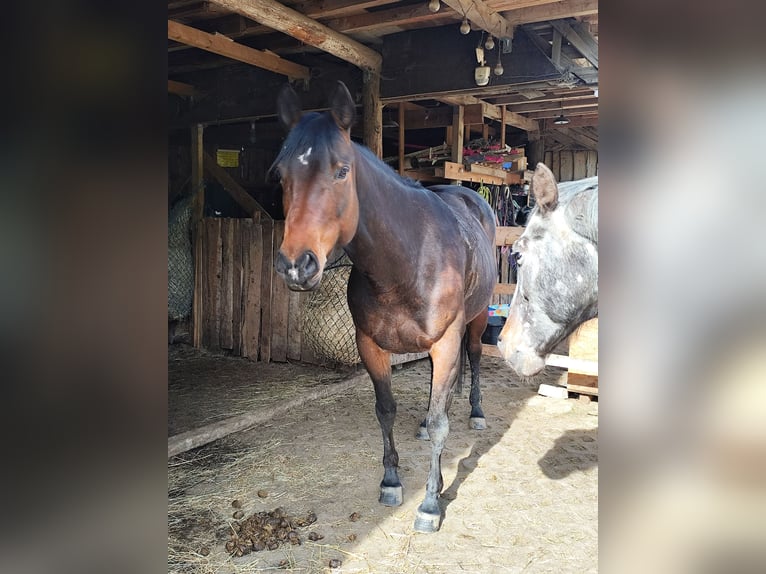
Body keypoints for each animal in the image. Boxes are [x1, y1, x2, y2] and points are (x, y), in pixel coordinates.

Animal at [272, 82, 498, 536]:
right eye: (282, 175)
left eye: (341, 171)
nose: (297, 265)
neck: (407, 261)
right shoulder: (371, 346)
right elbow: (386, 411)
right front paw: (392, 481)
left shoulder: (447, 343)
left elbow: (443, 419)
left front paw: (429, 503)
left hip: (476, 320)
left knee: (475, 357)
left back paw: (476, 411)